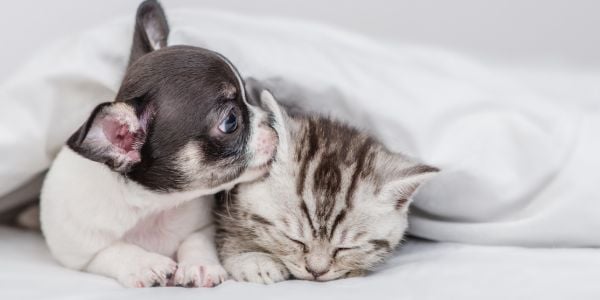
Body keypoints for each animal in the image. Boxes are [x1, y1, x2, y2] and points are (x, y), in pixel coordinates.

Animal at [39, 0, 278, 288]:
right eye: (231, 121)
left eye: (249, 96)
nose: (272, 119)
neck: (155, 207)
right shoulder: (78, 253)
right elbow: (112, 250)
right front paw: (145, 264)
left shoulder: (205, 225)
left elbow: (196, 239)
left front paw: (200, 264)